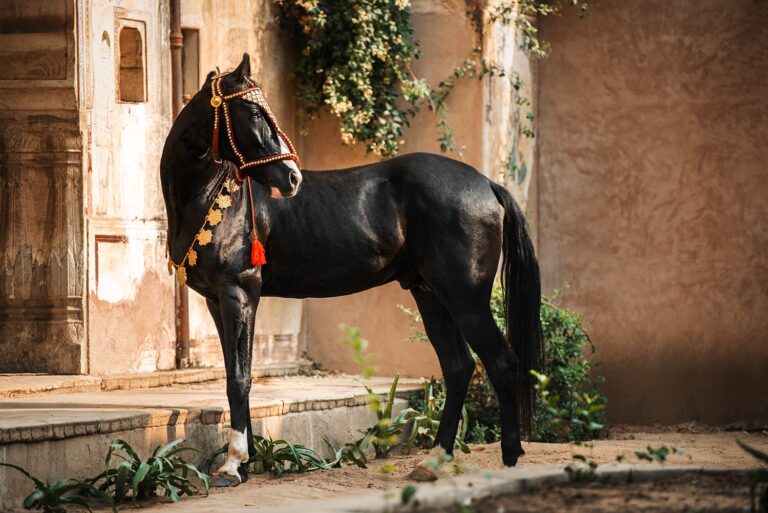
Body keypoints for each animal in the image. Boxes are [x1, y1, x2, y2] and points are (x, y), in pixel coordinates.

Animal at [161, 53, 542, 485]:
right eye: (254, 111)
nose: (292, 177)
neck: (211, 199)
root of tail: (487, 184)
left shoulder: (238, 294)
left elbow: (239, 377)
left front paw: (232, 463)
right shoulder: (217, 301)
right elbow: (235, 373)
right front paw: (248, 458)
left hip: (466, 298)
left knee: (501, 362)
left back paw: (509, 458)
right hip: (431, 295)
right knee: (459, 367)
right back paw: (432, 461)